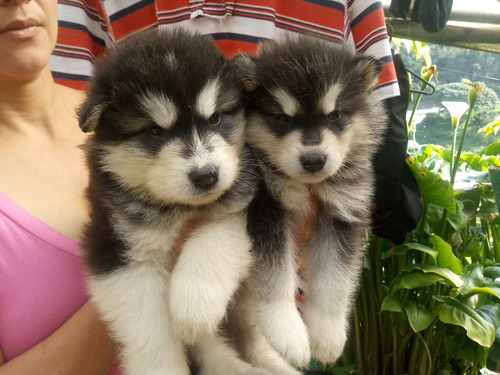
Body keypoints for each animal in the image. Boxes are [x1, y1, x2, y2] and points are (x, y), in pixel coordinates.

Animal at [77, 28, 262, 375]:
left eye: (215, 118)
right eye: (154, 131)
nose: (206, 176)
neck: (180, 208)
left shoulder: (248, 202)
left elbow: (214, 238)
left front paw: (194, 305)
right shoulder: (116, 247)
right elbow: (151, 331)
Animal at [234, 34, 386, 368]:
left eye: (335, 114)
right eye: (281, 117)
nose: (314, 160)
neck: (306, 185)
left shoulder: (345, 211)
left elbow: (335, 279)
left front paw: (328, 335)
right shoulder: (264, 209)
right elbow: (274, 274)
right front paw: (287, 332)